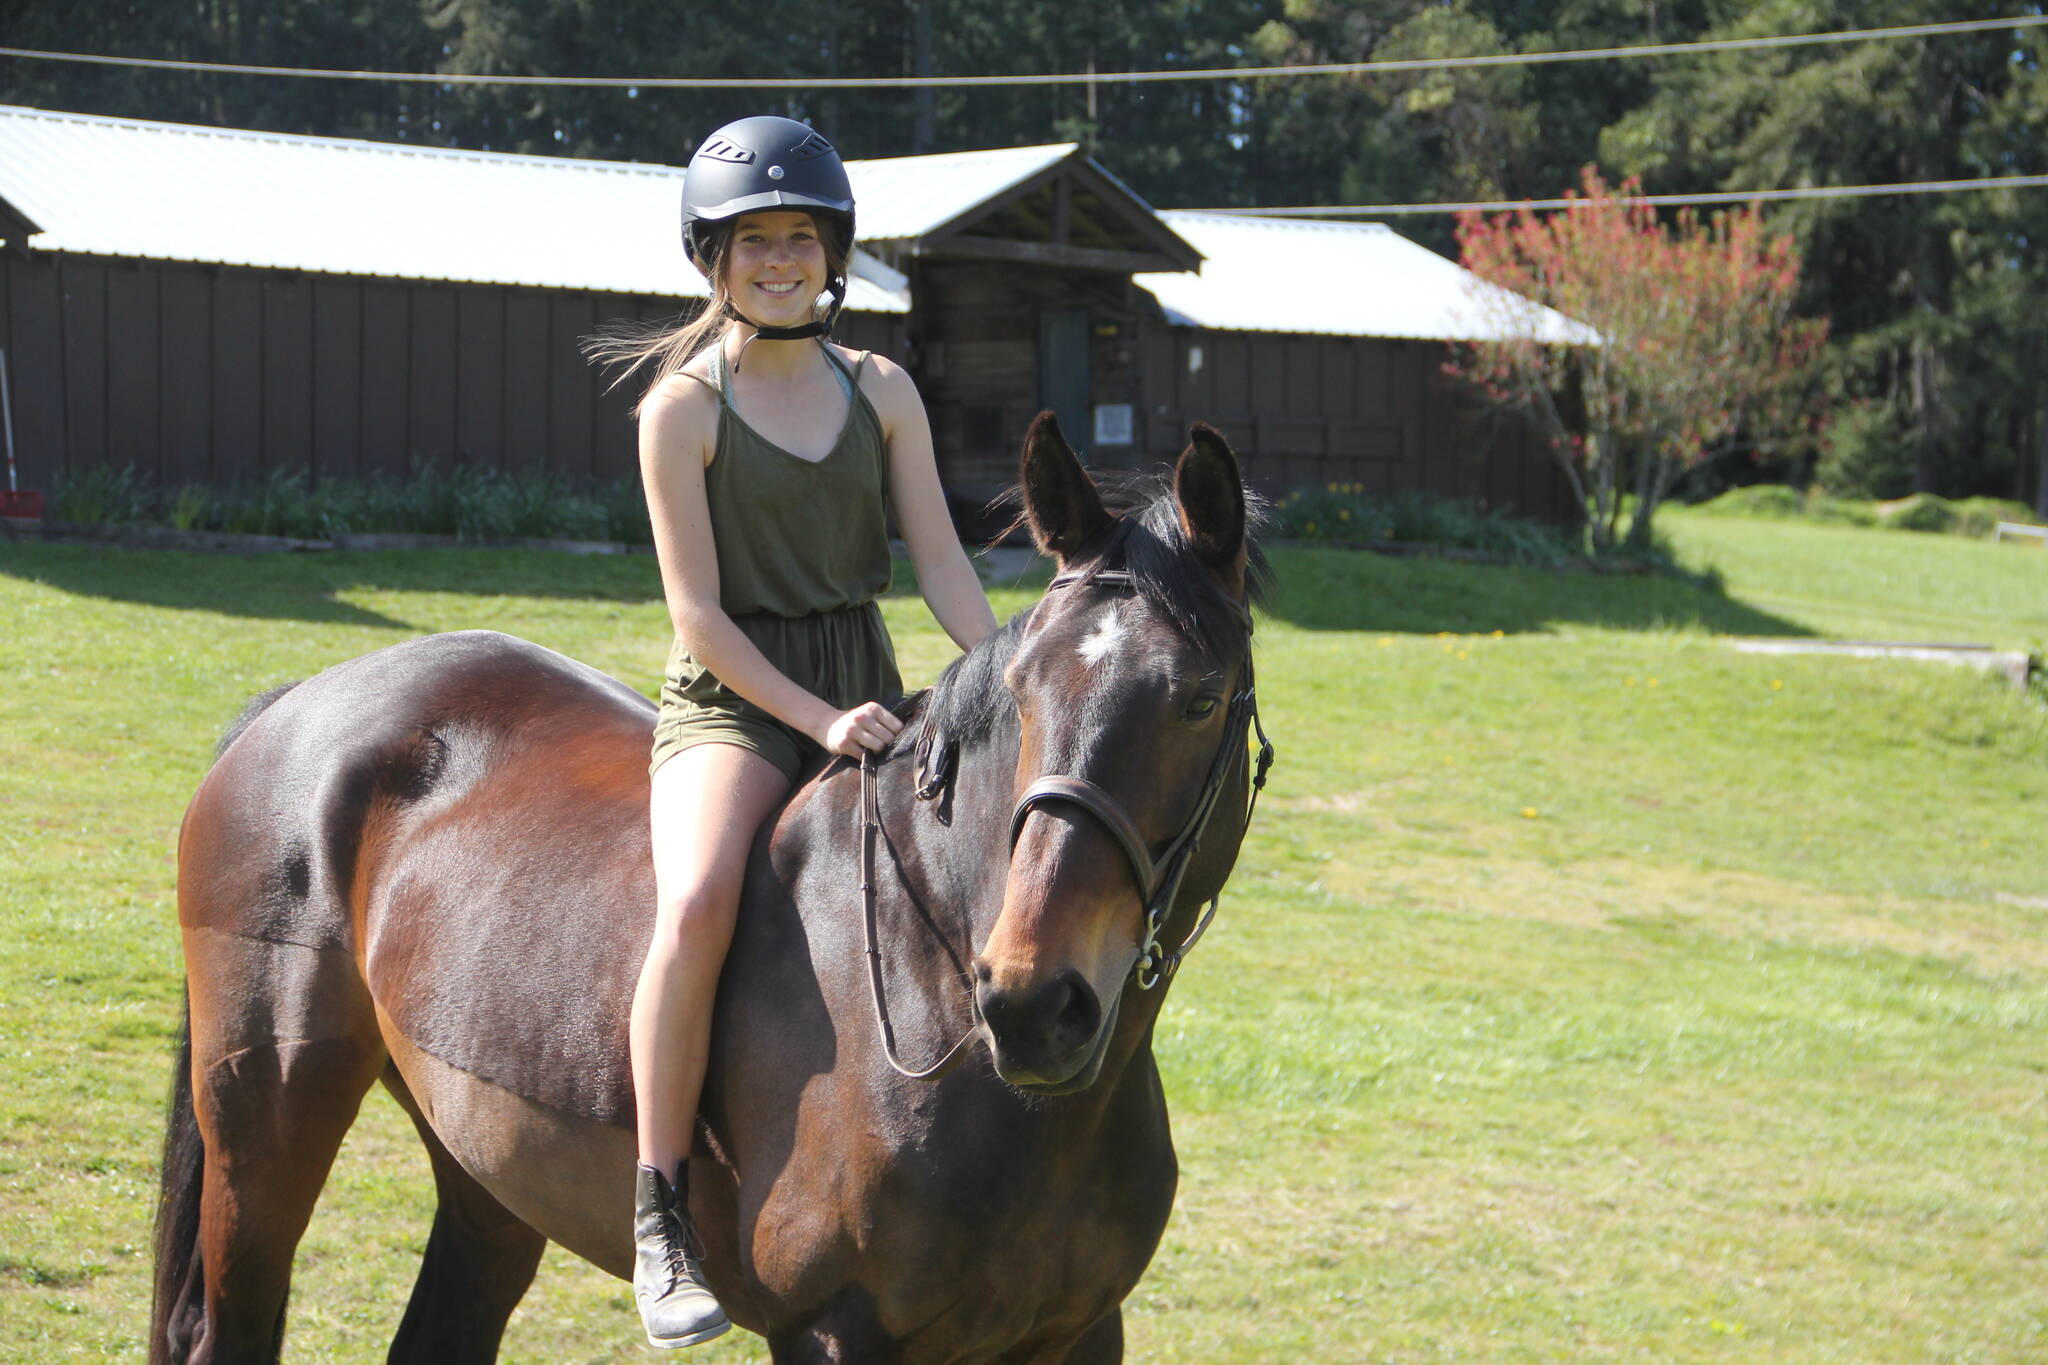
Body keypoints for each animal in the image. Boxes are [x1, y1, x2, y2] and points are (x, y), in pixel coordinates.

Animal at [148, 412, 1273, 1365]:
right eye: (1022, 691)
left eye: (1200, 698)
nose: (1033, 1002)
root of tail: (303, 699)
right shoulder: (834, 1332)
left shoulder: (1079, 1332)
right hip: (266, 1126)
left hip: (485, 1170)